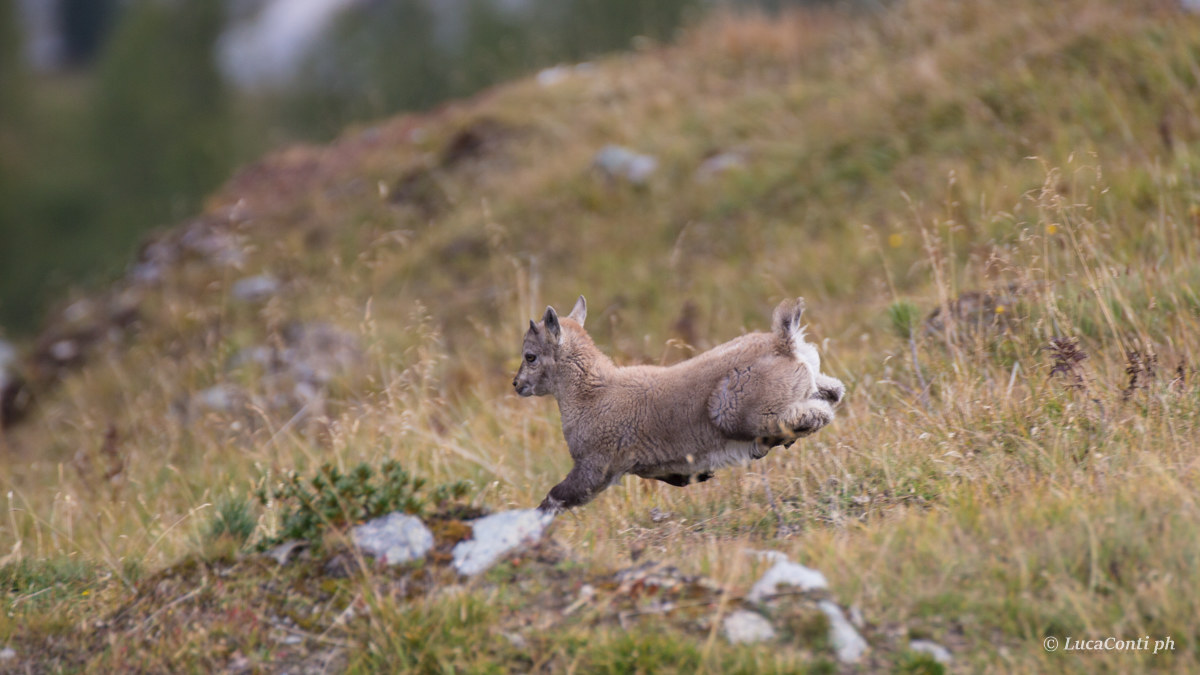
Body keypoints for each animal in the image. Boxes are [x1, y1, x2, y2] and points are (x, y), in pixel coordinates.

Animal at [513, 296, 845, 513]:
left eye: (530, 356)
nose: (516, 384)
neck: (591, 394)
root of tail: (784, 343)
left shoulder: (595, 465)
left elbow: (556, 497)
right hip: (811, 383)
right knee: (835, 393)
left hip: (733, 411)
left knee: (815, 415)